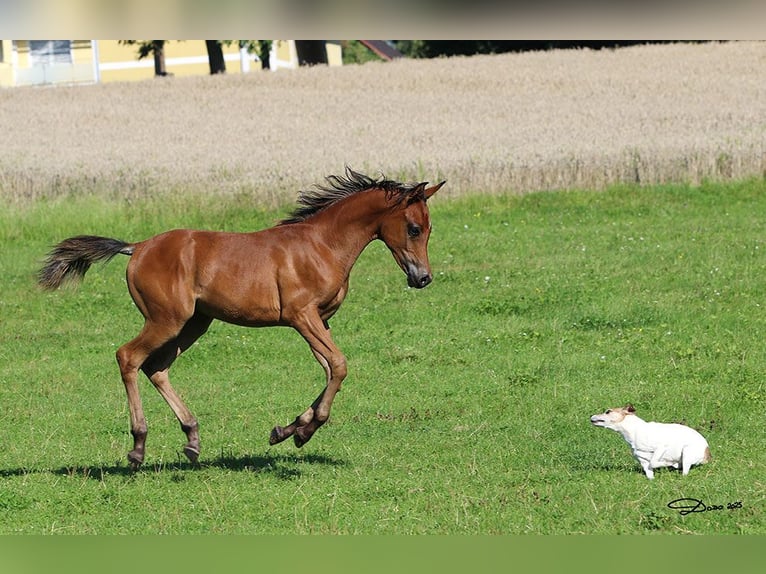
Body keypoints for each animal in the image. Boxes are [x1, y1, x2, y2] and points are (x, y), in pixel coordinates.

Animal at [38, 168, 445, 469]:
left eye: (430, 228)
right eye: (413, 228)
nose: (422, 278)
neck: (321, 245)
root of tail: (136, 248)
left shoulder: (320, 320)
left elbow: (330, 369)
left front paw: (290, 430)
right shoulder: (302, 316)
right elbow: (340, 365)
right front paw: (302, 432)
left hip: (194, 324)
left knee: (156, 367)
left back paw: (192, 439)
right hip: (166, 319)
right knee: (129, 357)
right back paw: (138, 447)